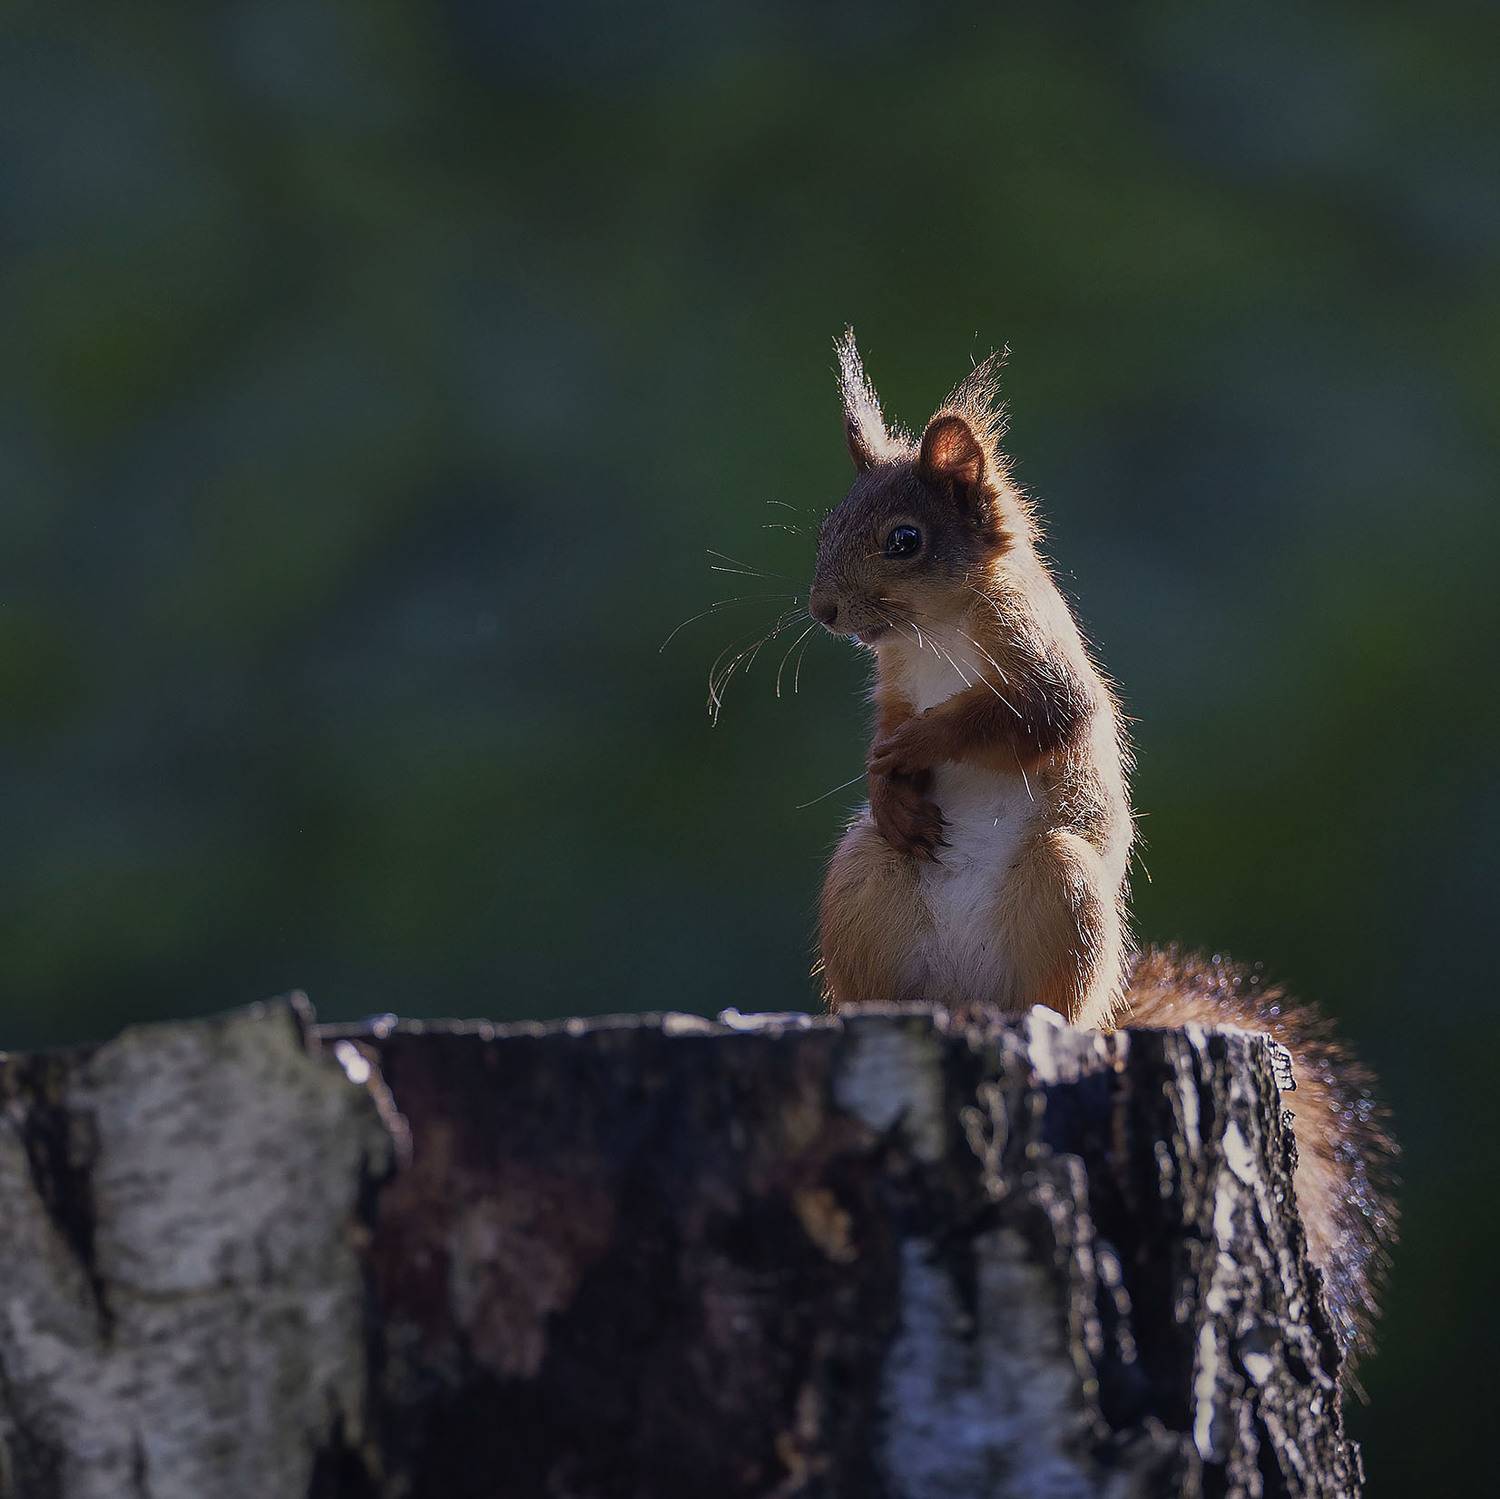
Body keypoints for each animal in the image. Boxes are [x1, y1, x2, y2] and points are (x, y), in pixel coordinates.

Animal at [809, 330, 1395, 1366]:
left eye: (905, 539)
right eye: (830, 521)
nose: (823, 611)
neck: (935, 631)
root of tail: (967, 999)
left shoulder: (1040, 671)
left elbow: (1023, 719)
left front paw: (914, 748)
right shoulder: (893, 683)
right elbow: (888, 730)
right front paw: (887, 778)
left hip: (1063, 885)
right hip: (865, 882)